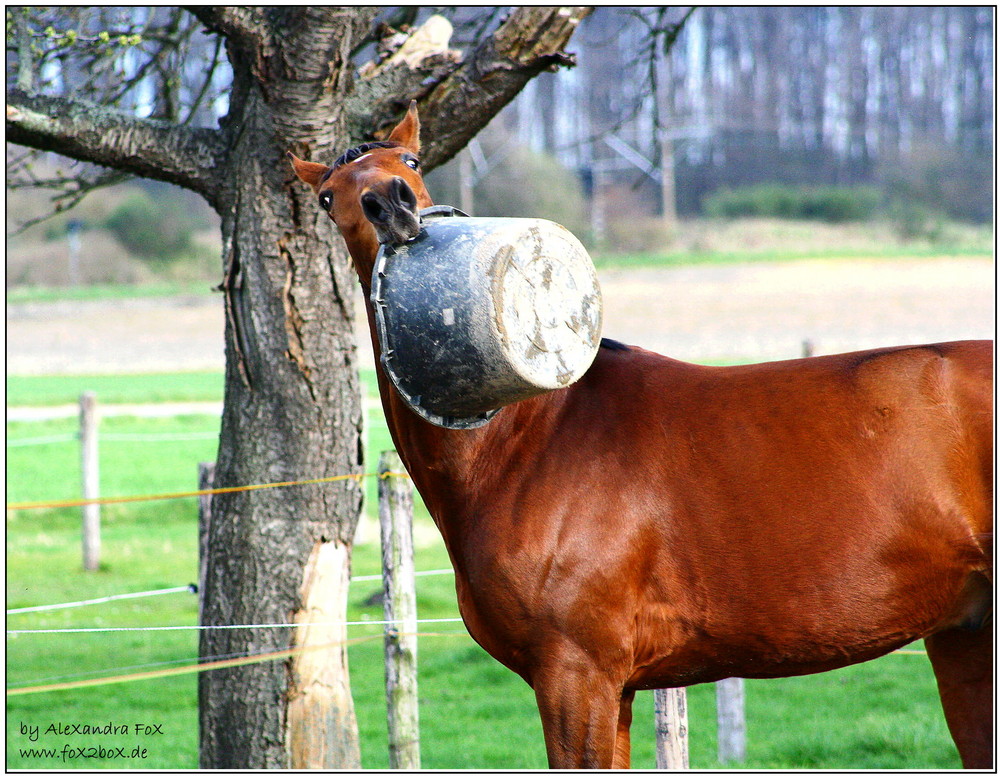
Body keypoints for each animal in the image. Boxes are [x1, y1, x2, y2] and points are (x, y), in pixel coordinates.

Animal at [290, 104, 992, 768]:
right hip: (964, 638)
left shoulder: (578, 675)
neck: (526, 443)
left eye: (411, 159)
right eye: (327, 195)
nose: (392, 206)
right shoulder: (616, 688)